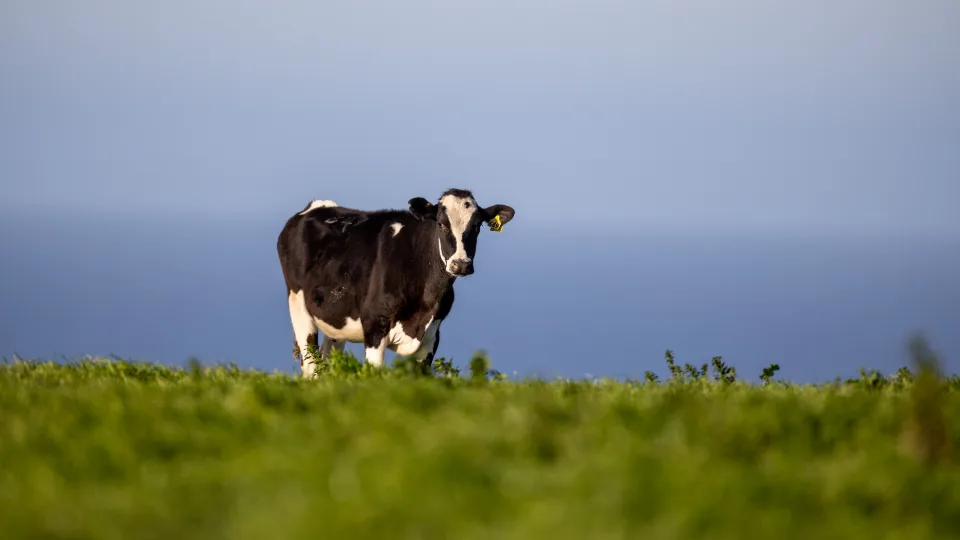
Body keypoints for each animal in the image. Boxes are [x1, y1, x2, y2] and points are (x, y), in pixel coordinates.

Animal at [276, 188, 515, 377]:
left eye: (477, 226)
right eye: (441, 224)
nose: (461, 264)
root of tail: (316, 206)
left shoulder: (432, 335)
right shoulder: (375, 323)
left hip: (335, 322)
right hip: (298, 305)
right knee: (311, 367)